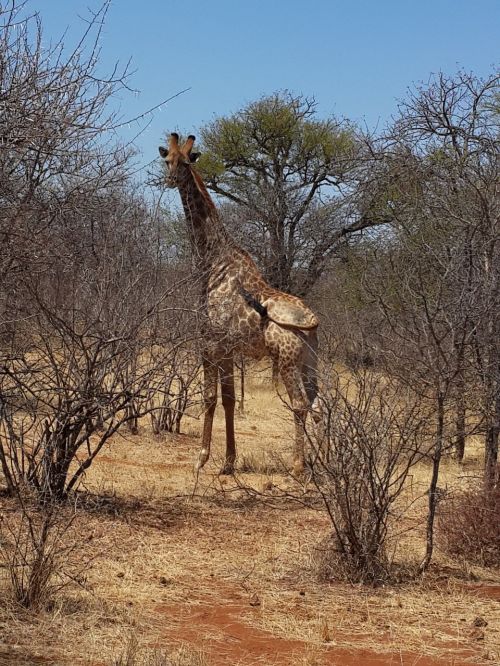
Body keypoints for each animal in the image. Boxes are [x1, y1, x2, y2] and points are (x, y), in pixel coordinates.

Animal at [158, 132, 318, 472]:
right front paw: (229, 462)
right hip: (311, 361)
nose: (170, 180)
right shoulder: (228, 348)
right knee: (318, 404)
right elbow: (229, 399)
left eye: (186, 162)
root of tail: (311, 321)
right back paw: (320, 463)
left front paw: (201, 458)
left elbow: (209, 397)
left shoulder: (209, 341)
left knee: (299, 403)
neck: (212, 263)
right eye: (167, 160)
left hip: (286, 360)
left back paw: (298, 466)